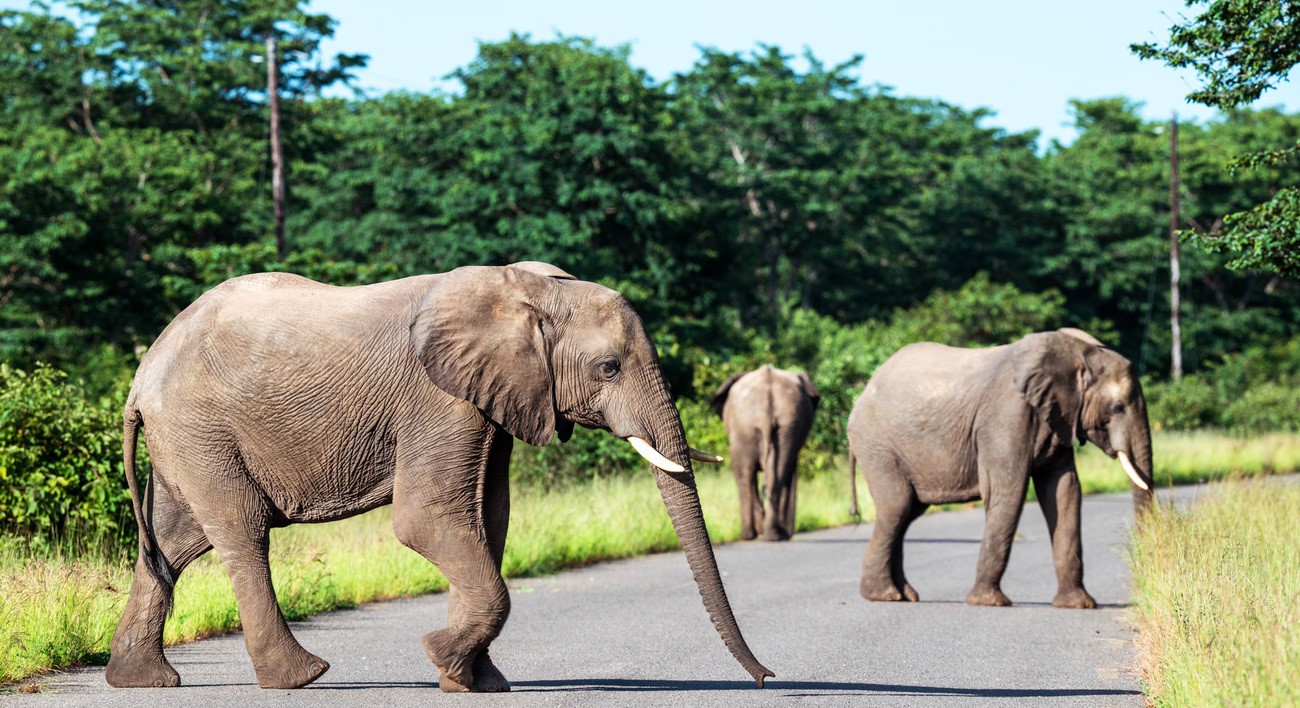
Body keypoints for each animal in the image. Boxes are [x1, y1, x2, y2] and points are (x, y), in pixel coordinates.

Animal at [106, 259, 769, 691]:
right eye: (608, 367)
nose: (767, 677)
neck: (528, 291)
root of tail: (141, 376)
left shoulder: (493, 397)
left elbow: (487, 519)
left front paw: (475, 683)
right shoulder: (438, 397)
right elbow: (426, 520)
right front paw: (440, 658)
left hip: (188, 438)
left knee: (173, 540)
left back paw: (142, 681)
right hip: (202, 427)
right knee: (242, 531)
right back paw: (301, 677)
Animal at [712, 366, 821, 537]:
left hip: (762, 426)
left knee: (748, 474)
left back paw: (759, 534)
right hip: (767, 425)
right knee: (764, 474)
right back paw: (769, 534)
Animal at [847, 328, 1154, 610]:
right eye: (1118, 407)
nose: (1142, 558)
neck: (1076, 352)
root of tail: (862, 393)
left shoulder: (1057, 419)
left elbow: (1064, 491)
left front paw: (1078, 605)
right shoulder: (1006, 417)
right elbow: (1008, 492)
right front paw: (989, 602)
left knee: (908, 512)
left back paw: (905, 595)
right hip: (877, 445)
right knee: (897, 506)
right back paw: (884, 596)